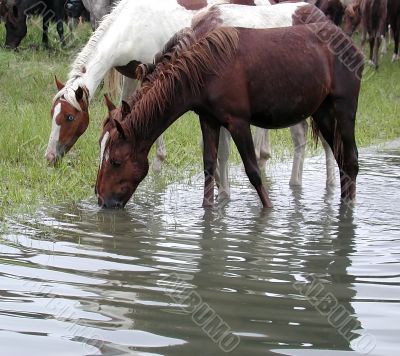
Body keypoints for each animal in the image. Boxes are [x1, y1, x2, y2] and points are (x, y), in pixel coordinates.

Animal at [94, 23, 362, 209]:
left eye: (116, 161)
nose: (102, 200)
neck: (203, 71)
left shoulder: (238, 122)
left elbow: (253, 171)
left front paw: (268, 210)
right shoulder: (208, 120)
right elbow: (209, 166)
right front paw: (207, 210)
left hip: (344, 110)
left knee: (351, 160)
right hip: (323, 112)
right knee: (341, 160)